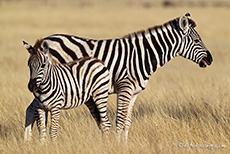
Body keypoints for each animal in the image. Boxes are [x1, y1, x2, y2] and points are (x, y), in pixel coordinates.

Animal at [23, 13, 212, 142]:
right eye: (197, 41)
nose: (210, 59)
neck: (142, 56)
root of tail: (47, 38)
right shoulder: (125, 87)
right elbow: (120, 120)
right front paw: (117, 144)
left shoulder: (135, 92)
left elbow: (127, 121)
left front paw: (124, 145)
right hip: (47, 84)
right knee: (33, 109)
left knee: (31, 109)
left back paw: (29, 141)